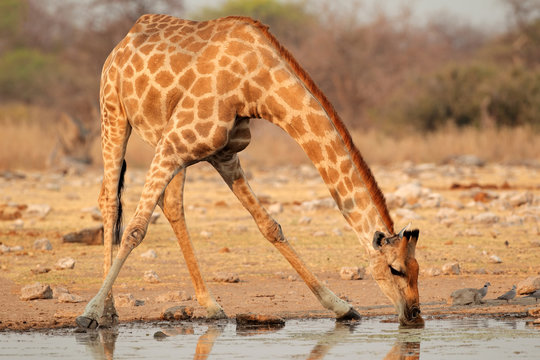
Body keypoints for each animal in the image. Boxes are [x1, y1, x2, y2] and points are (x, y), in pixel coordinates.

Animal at [76, 14, 424, 330]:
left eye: (418, 268)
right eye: (395, 269)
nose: (414, 315)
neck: (258, 86)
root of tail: (122, 43)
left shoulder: (223, 154)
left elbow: (270, 226)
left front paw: (341, 307)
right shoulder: (176, 142)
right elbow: (135, 229)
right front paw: (89, 313)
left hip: (163, 140)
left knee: (171, 204)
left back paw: (210, 306)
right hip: (114, 114)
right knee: (110, 198)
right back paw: (108, 312)